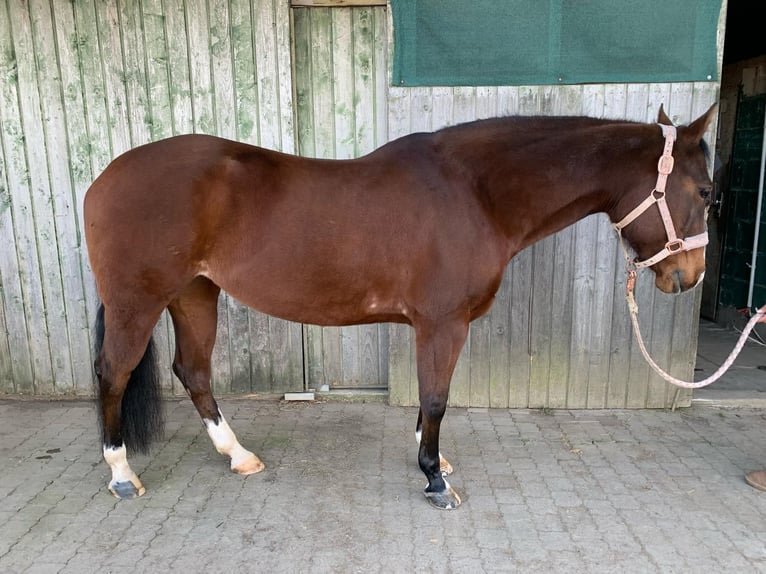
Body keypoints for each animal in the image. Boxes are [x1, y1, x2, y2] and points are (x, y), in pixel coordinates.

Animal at [85, 106, 720, 510]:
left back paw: (237, 455)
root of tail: (104, 178)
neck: (476, 193)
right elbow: (437, 399)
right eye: (707, 191)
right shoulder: (444, 323)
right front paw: (435, 482)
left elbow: (426, 401)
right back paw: (121, 475)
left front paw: (433, 460)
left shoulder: (432, 326)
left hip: (195, 292)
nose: (688, 276)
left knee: (193, 371)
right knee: (113, 373)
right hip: (139, 301)